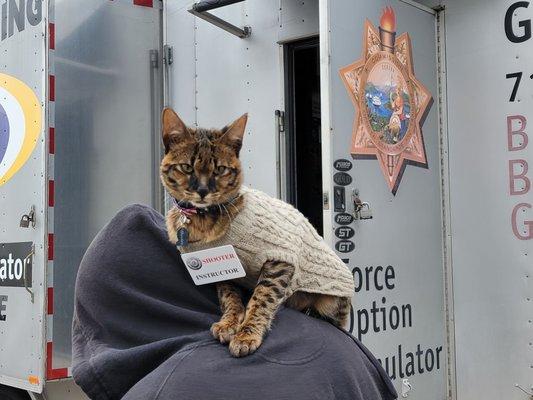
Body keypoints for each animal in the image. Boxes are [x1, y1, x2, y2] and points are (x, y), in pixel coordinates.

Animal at [159, 108, 350, 358]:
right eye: (187, 167)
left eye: (220, 169)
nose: (202, 190)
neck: (205, 222)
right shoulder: (225, 273)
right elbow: (229, 298)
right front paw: (229, 323)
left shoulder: (280, 260)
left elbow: (262, 299)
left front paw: (247, 334)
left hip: (332, 300)